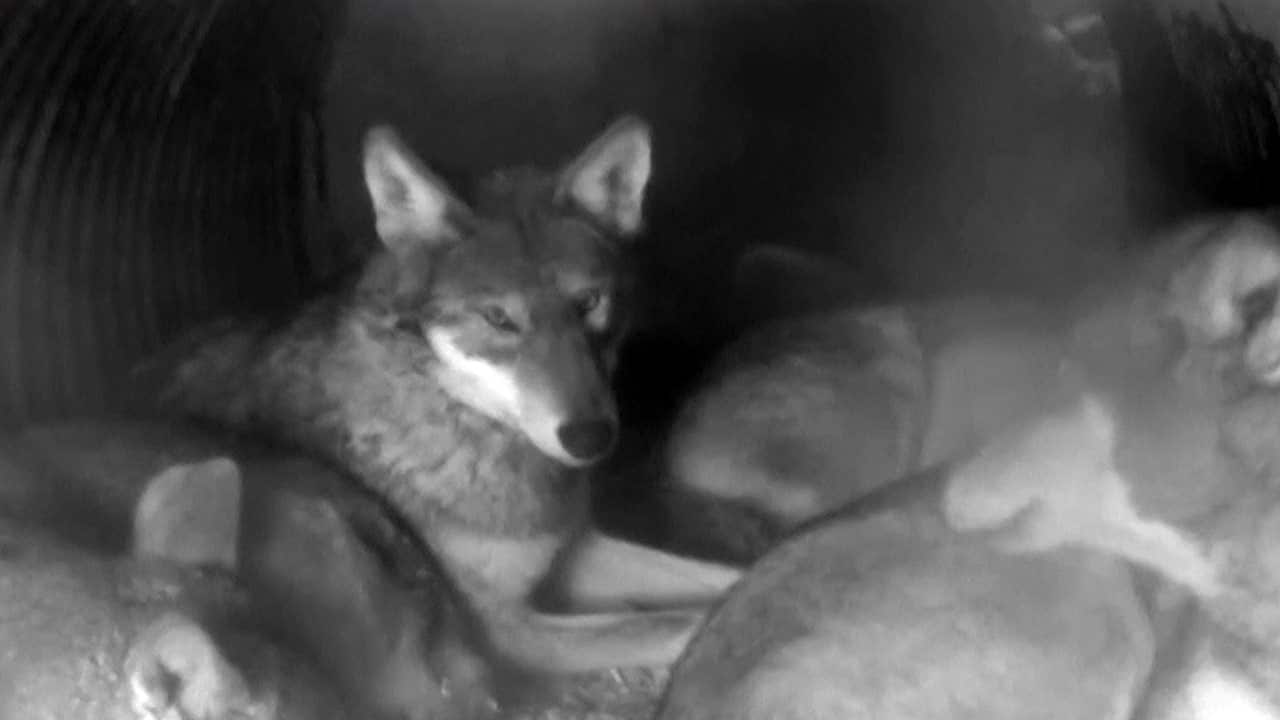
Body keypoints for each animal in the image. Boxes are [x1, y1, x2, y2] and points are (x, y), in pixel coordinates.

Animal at [149, 115, 743, 675]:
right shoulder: (509, 629)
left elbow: (720, 577)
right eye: (499, 319)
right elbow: (676, 622)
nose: (589, 437)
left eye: (589, 303)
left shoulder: (575, 551)